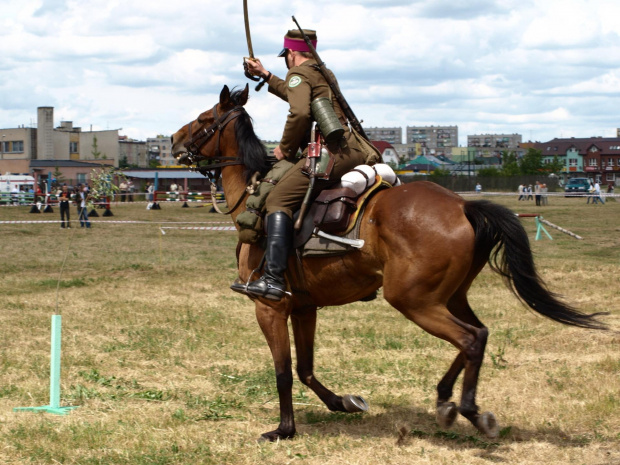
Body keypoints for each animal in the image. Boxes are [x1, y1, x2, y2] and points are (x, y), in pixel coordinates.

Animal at [170, 84, 604, 442]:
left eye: (205, 119)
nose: (173, 139)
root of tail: (462, 205)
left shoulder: (269, 307)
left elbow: (283, 372)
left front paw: (284, 429)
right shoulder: (305, 307)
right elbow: (305, 369)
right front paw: (343, 402)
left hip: (413, 300)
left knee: (469, 339)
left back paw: (465, 409)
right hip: (449, 297)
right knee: (478, 335)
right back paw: (448, 401)